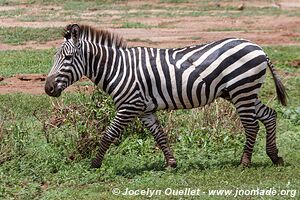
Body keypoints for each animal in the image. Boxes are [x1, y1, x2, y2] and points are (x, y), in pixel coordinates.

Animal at [44, 24, 286, 170]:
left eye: (67, 57)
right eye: (55, 57)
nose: (47, 88)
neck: (118, 68)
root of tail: (259, 48)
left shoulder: (129, 105)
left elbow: (108, 134)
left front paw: (94, 164)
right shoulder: (144, 109)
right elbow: (159, 136)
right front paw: (171, 163)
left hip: (242, 89)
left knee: (252, 125)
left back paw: (245, 162)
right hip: (242, 92)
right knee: (269, 115)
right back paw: (275, 156)